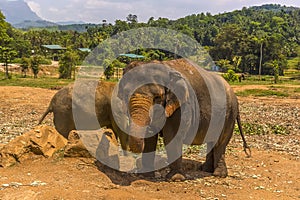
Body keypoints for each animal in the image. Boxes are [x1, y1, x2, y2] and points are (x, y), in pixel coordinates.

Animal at [117, 59, 251, 180]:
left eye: (157, 97)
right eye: (125, 94)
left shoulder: (183, 106)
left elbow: (172, 136)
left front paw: (175, 178)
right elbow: (150, 138)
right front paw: (146, 175)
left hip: (229, 115)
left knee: (220, 142)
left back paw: (218, 174)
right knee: (212, 141)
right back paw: (205, 169)